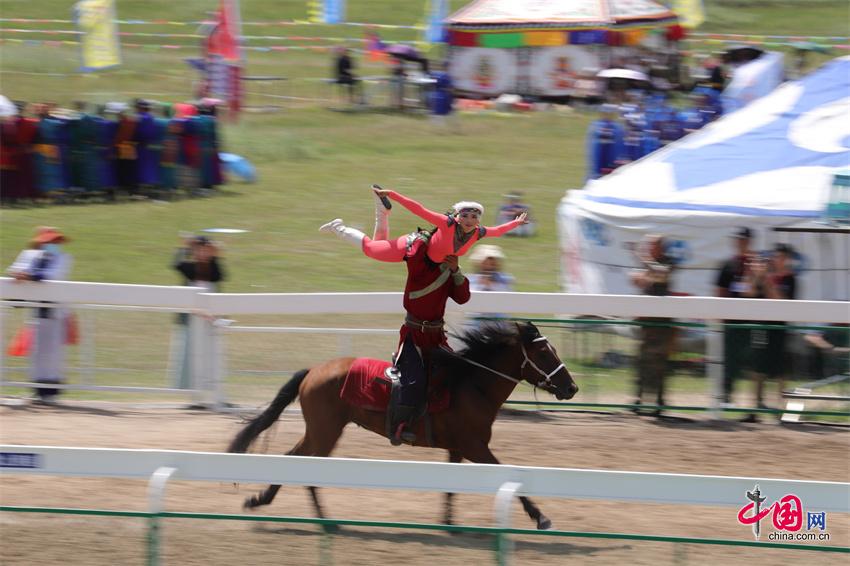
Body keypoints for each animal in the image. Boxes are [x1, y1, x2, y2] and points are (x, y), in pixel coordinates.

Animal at [229, 324, 580, 532]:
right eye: (544, 353)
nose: (571, 387)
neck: (470, 384)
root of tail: (313, 371)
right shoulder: (475, 446)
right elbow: (505, 474)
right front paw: (540, 516)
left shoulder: (458, 448)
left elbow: (451, 487)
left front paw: (449, 522)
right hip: (326, 430)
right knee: (307, 465)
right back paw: (325, 521)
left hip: (320, 429)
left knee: (293, 458)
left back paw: (260, 500)